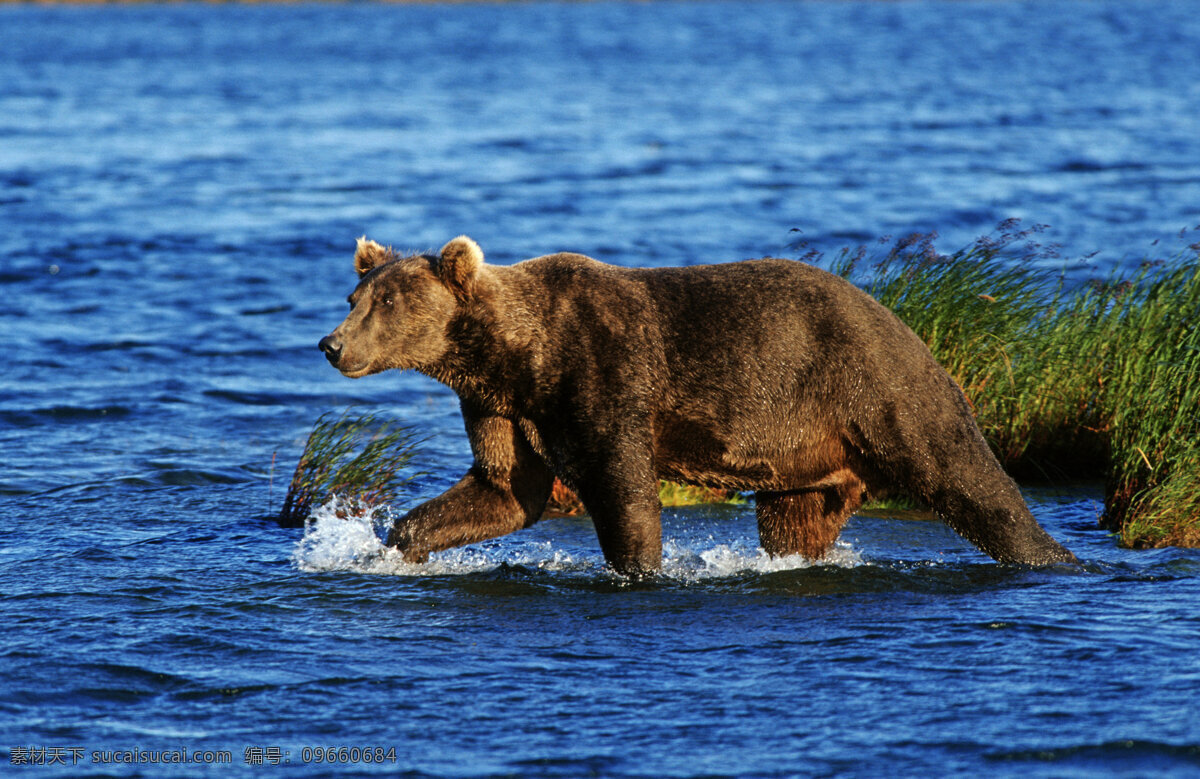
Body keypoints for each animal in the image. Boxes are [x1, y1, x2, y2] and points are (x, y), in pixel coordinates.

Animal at [318, 235, 1077, 575]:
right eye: (354, 297)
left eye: (389, 302)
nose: (331, 343)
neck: (519, 353)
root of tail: (906, 323)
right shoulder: (503, 405)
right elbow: (506, 489)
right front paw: (397, 541)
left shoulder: (604, 372)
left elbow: (622, 485)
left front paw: (639, 567)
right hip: (805, 453)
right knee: (797, 521)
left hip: (879, 387)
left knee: (968, 478)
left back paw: (1055, 558)